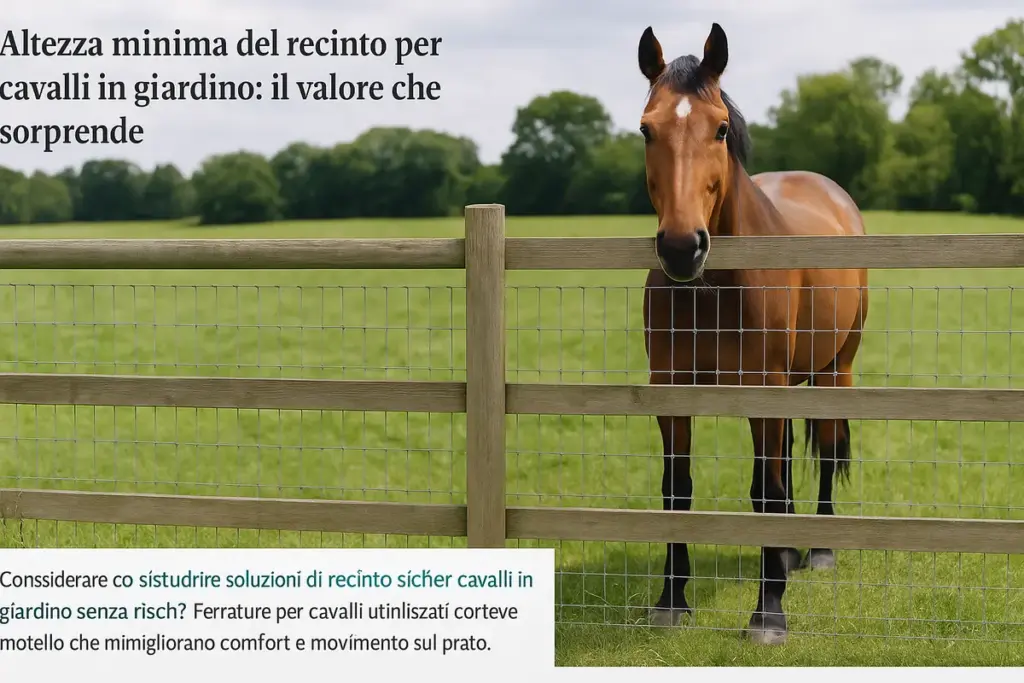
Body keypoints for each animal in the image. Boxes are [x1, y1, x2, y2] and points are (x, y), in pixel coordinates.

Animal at [637, 22, 869, 645]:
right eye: (646, 129)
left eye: (720, 127)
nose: (681, 247)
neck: (715, 287)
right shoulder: (673, 391)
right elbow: (677, 488)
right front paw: (671, 602)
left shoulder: (764, 387)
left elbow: (765, 490)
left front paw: (768, 613)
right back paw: (785, 552)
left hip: (834, 370)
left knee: (824, 447)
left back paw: (817, 550)